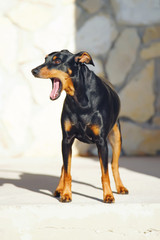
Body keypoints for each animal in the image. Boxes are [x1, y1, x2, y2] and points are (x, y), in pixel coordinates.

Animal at [31, 49, 129, 203]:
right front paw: (66, 194)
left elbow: (105, 173)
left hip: (116, 137)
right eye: (45, 59)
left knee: (114, 164)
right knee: (64, 167)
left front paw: (108, 195)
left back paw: (120, 187)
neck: (80, 98)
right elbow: (67, 171)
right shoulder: (66, 139)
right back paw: (59, 189)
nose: (33, 71)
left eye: (57, 61)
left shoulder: (101, 142)